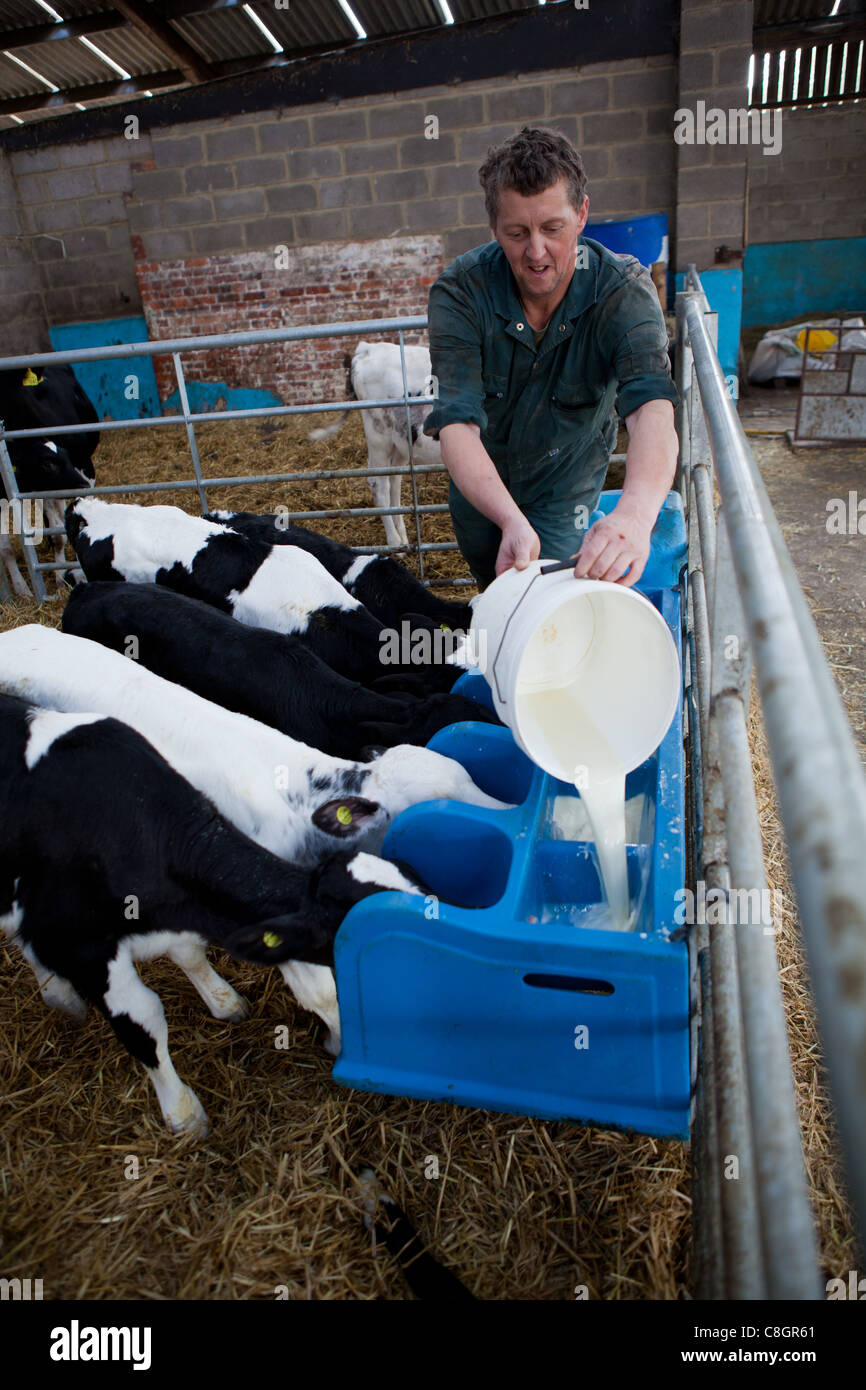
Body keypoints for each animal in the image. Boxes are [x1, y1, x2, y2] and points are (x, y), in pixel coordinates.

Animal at [0, 689, 428, 1134]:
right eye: (354, 939)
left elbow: (191, 953)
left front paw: (224, 1001)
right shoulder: (79, 944)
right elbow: (143, 1020)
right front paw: (183, 1113)